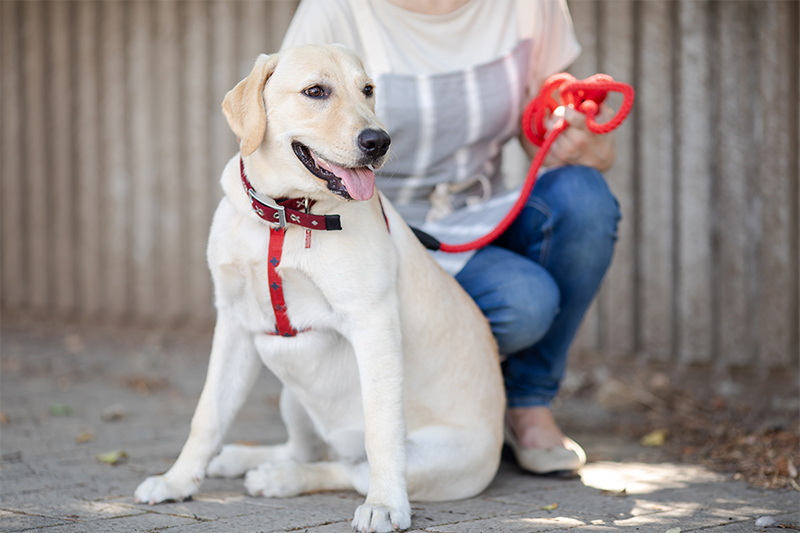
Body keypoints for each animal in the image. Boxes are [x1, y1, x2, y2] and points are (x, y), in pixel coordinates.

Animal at [134, 44, 504, 532]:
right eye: (315, 92)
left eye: (368, 90)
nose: (379, 141)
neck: (284, 216)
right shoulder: (232, 322)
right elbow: (207, 415)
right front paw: (177, 481)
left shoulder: (373, 324)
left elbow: (381, 431)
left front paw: (385, 504)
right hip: (292, 392)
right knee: (305, 449)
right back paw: (243, 459)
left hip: (438, 457)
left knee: (344, 466)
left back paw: (280, 479)